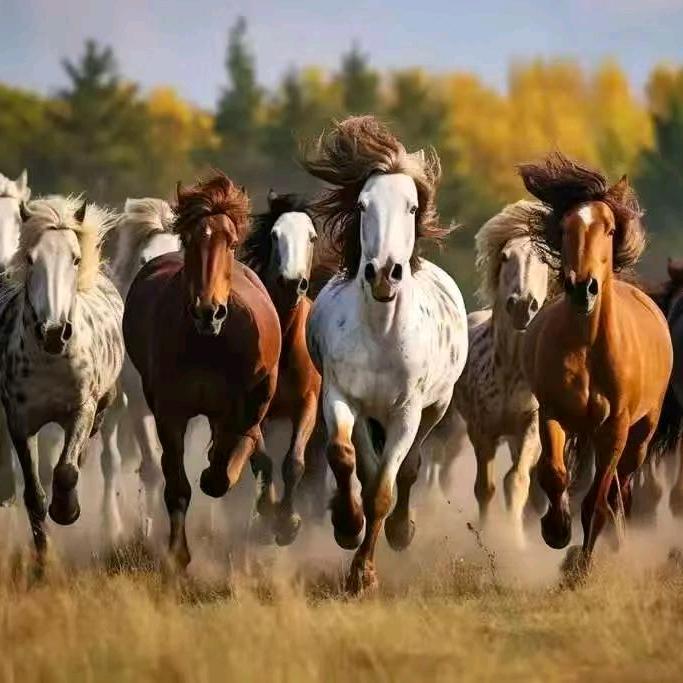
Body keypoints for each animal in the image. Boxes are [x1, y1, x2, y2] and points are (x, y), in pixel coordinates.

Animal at [0, 196, 124, 560]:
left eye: (75, 258)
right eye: (30, 258)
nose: (55, 332)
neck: (51, 361)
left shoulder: (82, 408)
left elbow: (67, 470)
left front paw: (66, 510)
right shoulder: (19, 420)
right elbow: (33, 493)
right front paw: (43, 558)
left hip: (105, 401)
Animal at [123, 172, 281, 570]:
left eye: (232, 242)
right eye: (191, 240)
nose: (208, 311)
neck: (208, 344)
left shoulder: (243, 402)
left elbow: (226, 465)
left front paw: (215, 472)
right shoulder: (170, 412)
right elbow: (178, 484)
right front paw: (178, 554)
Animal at [303, 116, 468, 593]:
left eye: (412, 208)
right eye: (361, 206)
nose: (382, 273)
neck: (381, 334)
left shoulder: (406, 413)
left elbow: (383, 490)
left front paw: (363, 573)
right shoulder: (343, 398)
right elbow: (345, 459)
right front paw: (346, 526)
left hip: (436, 408)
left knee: (409, 467)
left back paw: (400, 531)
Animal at [428, 201, 551, 546]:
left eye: (544, 259)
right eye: (506, 256)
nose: (522, 305)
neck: (510, 370)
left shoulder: (530, 427)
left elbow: (516, 481)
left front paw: (515, 542)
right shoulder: (482, 430)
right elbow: (485, 488)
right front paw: (484, 537)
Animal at [519, 153, 673, 577]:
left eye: (609, 229)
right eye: (565, 227)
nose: (583, 288)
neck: (588, 347)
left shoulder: (615, 429)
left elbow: (596, 500)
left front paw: (582, 567)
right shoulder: (553, 414)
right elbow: (554, 474)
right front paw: (555, 530)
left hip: (642, 433)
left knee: (622, 485)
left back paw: (619, 540)